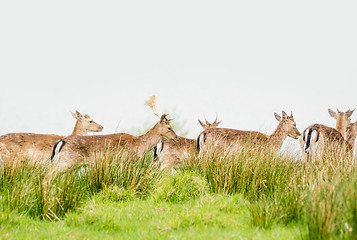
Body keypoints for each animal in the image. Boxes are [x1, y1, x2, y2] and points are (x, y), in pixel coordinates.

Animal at [50, 95, 178, 172]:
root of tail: (60, 142)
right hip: (66, 162)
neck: (140, 145)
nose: (176, 137)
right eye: (169, 127)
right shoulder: (126, 160)